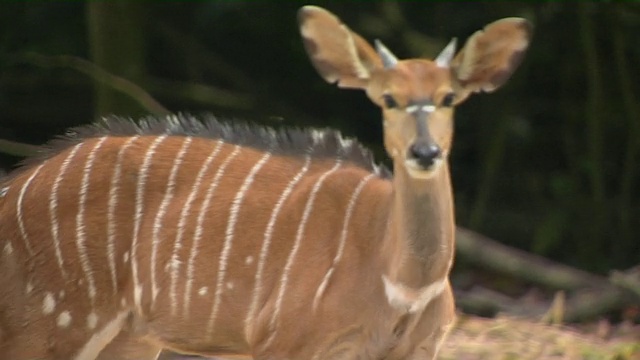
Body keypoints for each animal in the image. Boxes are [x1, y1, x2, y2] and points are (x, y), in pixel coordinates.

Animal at [0, 5, 528, 360]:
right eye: (389, 99)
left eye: (448, 97)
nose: (424, 152)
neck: (400, 284)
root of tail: (12, 190)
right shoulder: (284, 340)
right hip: (46, 325)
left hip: (128, 337)